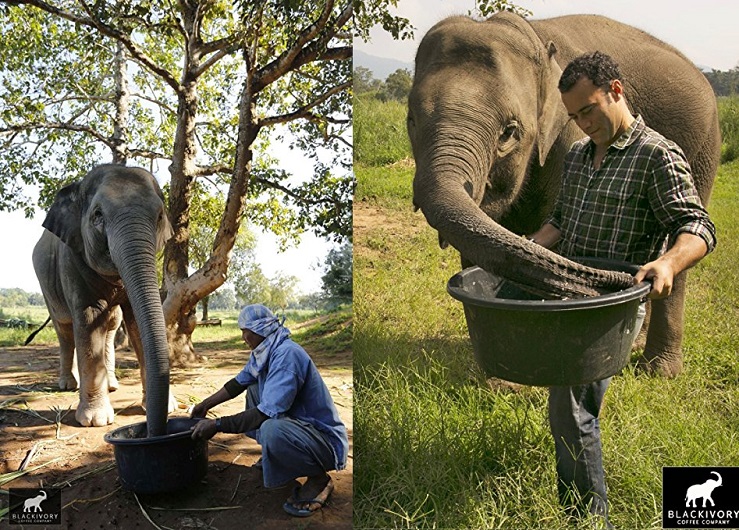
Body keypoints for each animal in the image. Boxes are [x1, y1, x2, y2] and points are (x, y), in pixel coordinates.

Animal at [33, 164, 176, 434]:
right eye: (97, 215)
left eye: (160, 216)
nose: (156, 427)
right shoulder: (71, 261)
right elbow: (89, 320)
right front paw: (95, 420)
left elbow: (136, 322)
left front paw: (170, 407)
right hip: (47, 287)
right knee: (65, 330)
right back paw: (68, 385)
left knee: (110, 326)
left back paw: (111, 385)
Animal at [408, 12, 720, 376]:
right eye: (411, 120)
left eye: (509, 133)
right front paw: (492, 376)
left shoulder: (568, 138)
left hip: (702, 150)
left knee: (684, 233)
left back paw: (658, 369)